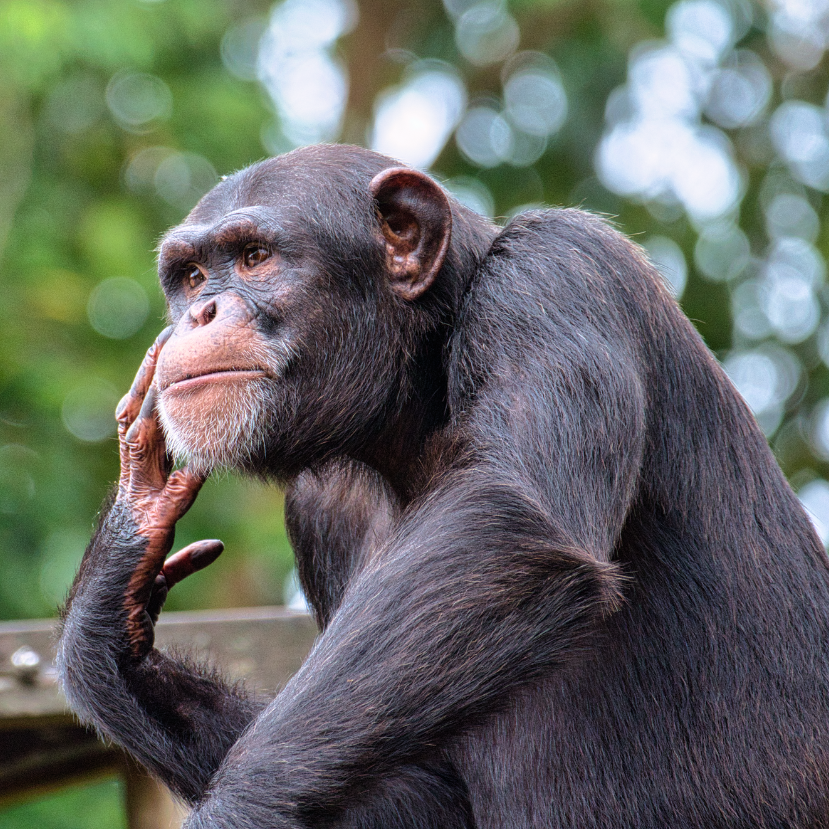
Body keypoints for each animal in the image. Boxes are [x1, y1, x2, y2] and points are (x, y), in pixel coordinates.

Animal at [59, 146, 829, 824]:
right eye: (191, 275)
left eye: (254, 257)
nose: (201, 312)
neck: (416, 399)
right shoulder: (319, 508)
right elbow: (417, 788)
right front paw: (115, 598)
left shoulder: (557, 275)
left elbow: (508, 524)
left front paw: (237, 807)